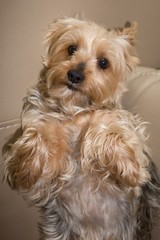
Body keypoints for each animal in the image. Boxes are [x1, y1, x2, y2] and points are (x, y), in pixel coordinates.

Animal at [2, 17, 160, 240]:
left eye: (104, 62)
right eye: (71, 48)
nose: (75, 75)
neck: (75, 109)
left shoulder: (134, 170)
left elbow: (112, 125)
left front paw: (126, 164)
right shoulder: (37, 182)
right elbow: (37, 138)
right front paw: (32, 158)